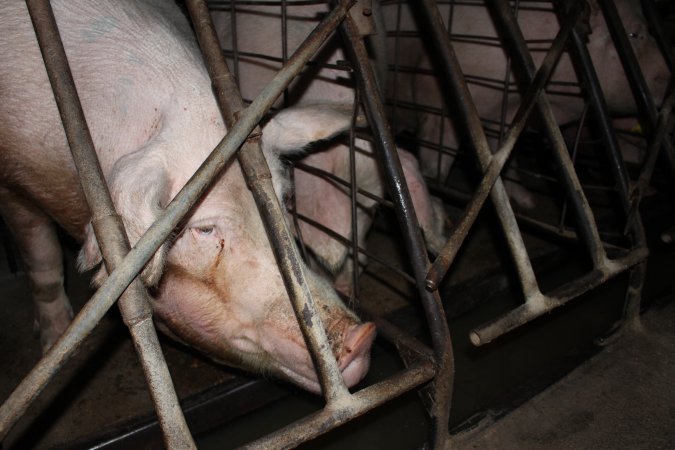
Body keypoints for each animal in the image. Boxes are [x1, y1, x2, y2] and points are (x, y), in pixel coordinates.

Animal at [0, 0, 374, 394]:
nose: (363, 337)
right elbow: (43, 264)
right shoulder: (12, 181)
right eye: (204, 230)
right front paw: (52, 343)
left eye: (285, 200)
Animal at [382, 0, 672, 207]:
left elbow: (504, 160)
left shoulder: (503, 114)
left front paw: (527, 202)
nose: (669, 77)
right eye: (633, 34)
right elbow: (438, 158)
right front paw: (437, 196)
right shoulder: (436, 93)